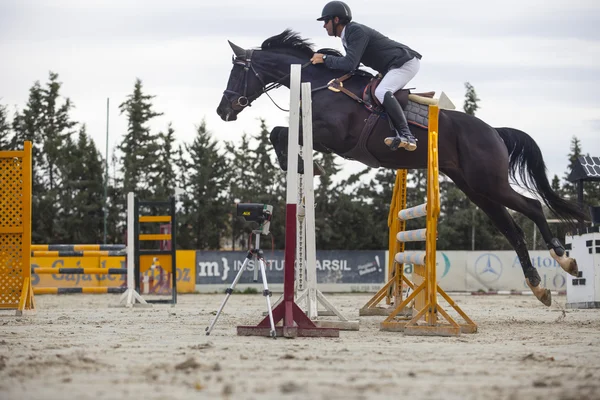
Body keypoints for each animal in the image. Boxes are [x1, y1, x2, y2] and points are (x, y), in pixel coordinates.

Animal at [216, 29, 584, 306]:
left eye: (238, 72)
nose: (223, 111)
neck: (320, 83)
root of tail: (494, 131)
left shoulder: (332, 135)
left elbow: (281, 132)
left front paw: (305, 164)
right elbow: (279, 133)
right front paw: (304, 164)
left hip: (490, 183)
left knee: (532, 207)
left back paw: (565, 259)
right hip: (477, 190)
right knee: (513, 230)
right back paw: (538, 286)